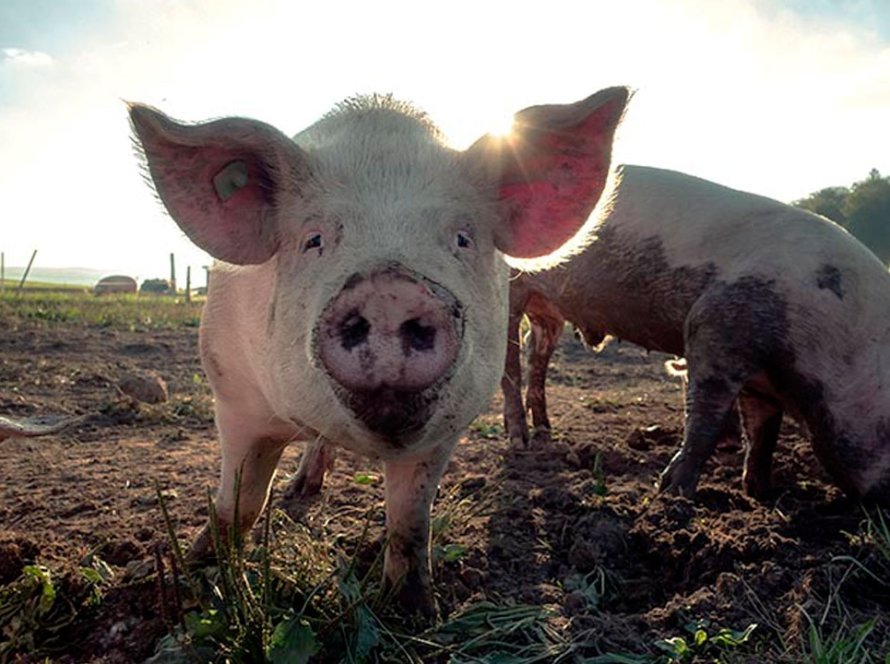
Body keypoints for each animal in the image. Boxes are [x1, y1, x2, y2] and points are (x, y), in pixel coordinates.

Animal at [130, 85, 632, 616]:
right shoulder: (233, 395)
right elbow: (240, 502)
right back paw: (300, 489)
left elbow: (410, 520)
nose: (390, 290)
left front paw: (414, 611)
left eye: (462, 238)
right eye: (314, 239)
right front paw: (199, 575)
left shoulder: (447, 428)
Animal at [500, 165, 888, 504]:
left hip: (548, 311)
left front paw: (762, 492)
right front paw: (673, 493)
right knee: (509, 364)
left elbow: (763, 431)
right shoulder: (713, 329)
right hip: (509, 293)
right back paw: (520, 441)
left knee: (536, 352)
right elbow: (705, 421)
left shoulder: (758, 377)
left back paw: (545, 430)